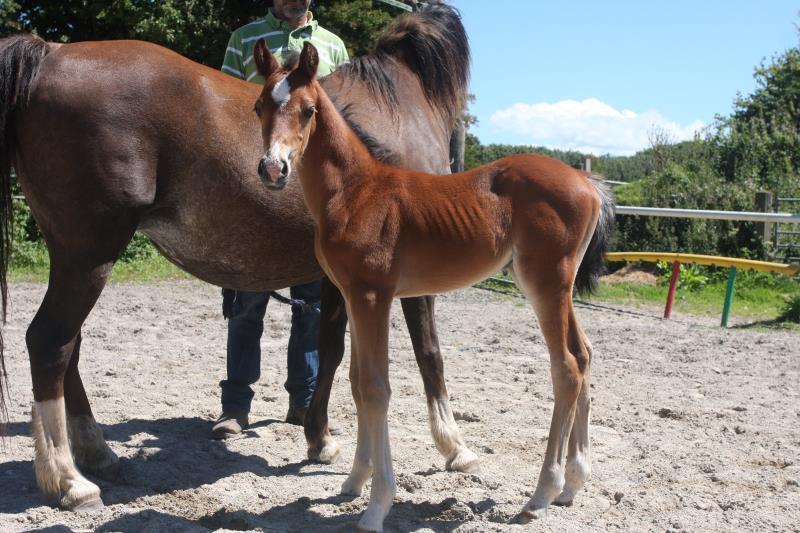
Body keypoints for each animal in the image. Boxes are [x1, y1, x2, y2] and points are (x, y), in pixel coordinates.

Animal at [0, 3, 482, 512]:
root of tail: (49, 54)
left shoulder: (343, 279)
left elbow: (332, 353)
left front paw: (319, 438)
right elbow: (430, 354)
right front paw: (455, 447)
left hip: (74, 256)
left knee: (67, 348)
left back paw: (97, 453)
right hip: (89, 254)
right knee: (49, 343)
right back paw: (69, 480)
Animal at [253, 42, 616, 532]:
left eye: (308, 110)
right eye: (259, 107)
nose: (273, 169)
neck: (356, 192)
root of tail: (589, 183)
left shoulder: (373, 296)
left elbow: (376, 387)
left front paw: (377, 505)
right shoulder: (352, 295)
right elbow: (356, 381)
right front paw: (354, 480)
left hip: (546, 283)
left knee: (567, 367)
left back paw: (540, 495)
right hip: (558, 285)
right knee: (585, 353)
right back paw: (573, 484)